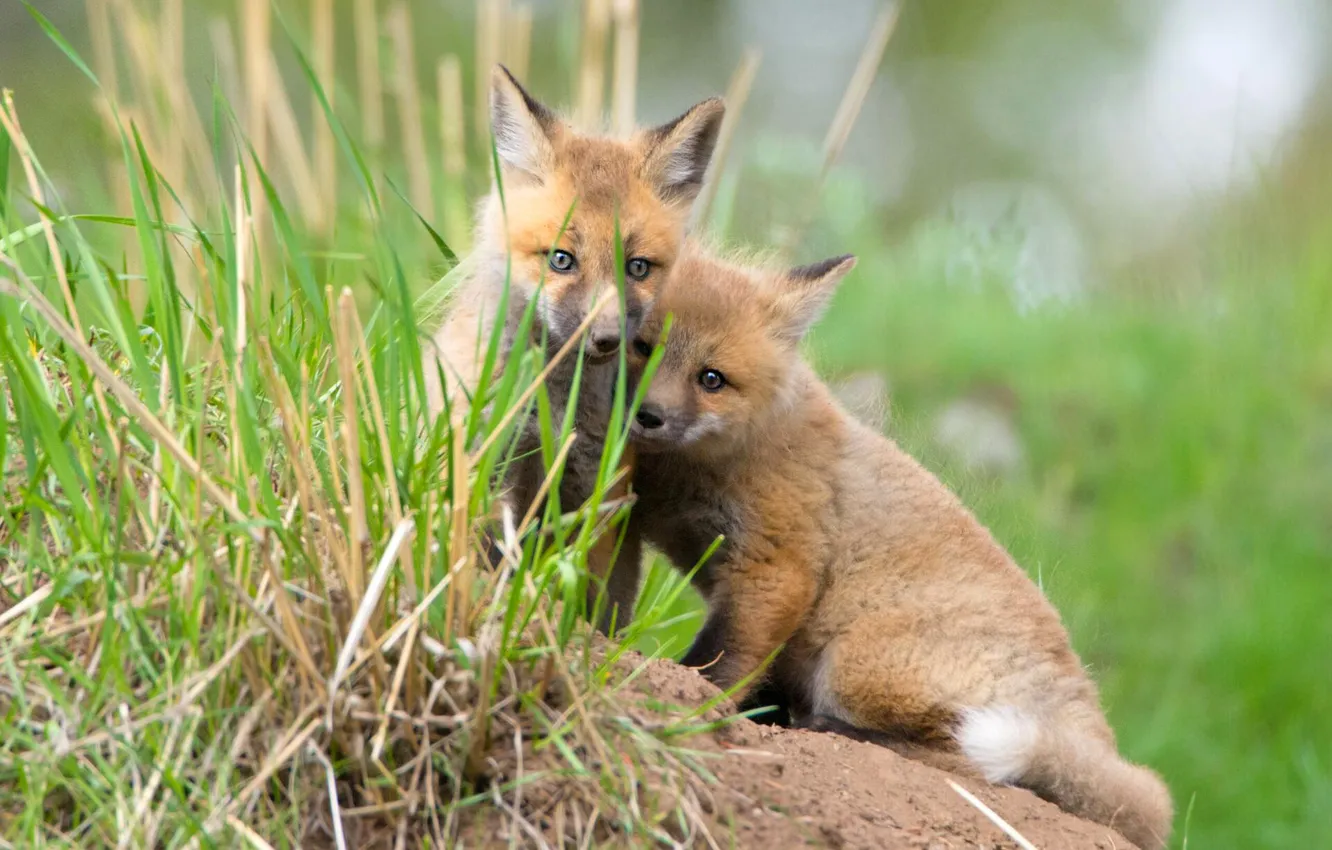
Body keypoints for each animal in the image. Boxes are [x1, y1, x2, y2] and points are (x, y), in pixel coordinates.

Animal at [422, 67, 724, 631]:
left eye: (638, 267)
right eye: (561, 259)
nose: (606, 338)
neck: (555, 403)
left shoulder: (595, 494)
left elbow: (588, 606)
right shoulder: (489, 466)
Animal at [624, 245, 1174, 850]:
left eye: (711, 378)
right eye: (642, 347)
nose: (647, 416)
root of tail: (1090, 715)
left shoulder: (776, 566)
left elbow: (720, 663)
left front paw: (687, 700)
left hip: (859, 664)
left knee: (979, 770)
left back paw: (822, 727)